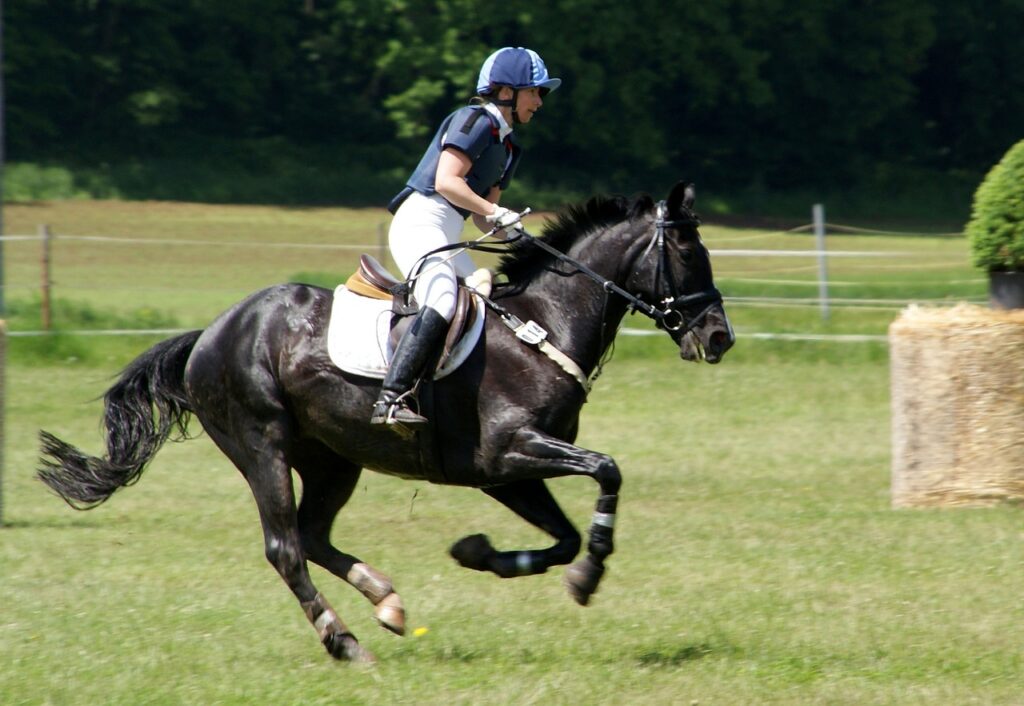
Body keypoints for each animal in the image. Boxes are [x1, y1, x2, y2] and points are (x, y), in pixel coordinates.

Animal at [37, 181, 734, 663]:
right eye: (685, 250)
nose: (719, 337)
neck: (543, 325)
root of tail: (209, 333)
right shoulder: (508, 453)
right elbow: (607, 472)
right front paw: (588, 577)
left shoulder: (507, 473)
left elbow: (561, 535)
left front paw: (480, 554)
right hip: (261, 445)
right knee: (285, 547)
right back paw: (345, 643)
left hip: (332, 458)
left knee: (313, 536)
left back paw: (388, 602)